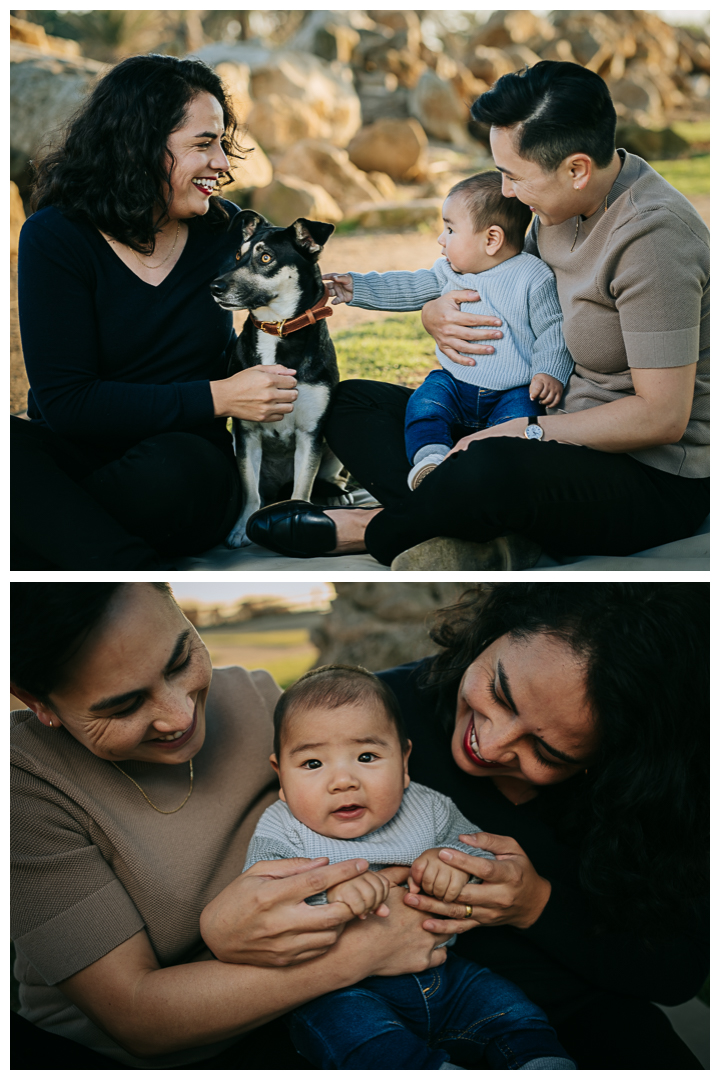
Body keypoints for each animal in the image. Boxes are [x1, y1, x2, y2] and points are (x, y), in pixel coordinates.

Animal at [209, 210, 347, 548]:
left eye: (266, 257)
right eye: (237, 255)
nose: (214, 287)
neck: (278, 328)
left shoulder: (310, 432)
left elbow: (303, 486)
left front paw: (297, 516)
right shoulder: (247, 434)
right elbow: (250, 492)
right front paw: (241, 528)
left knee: (326, 476)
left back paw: (335, 493)